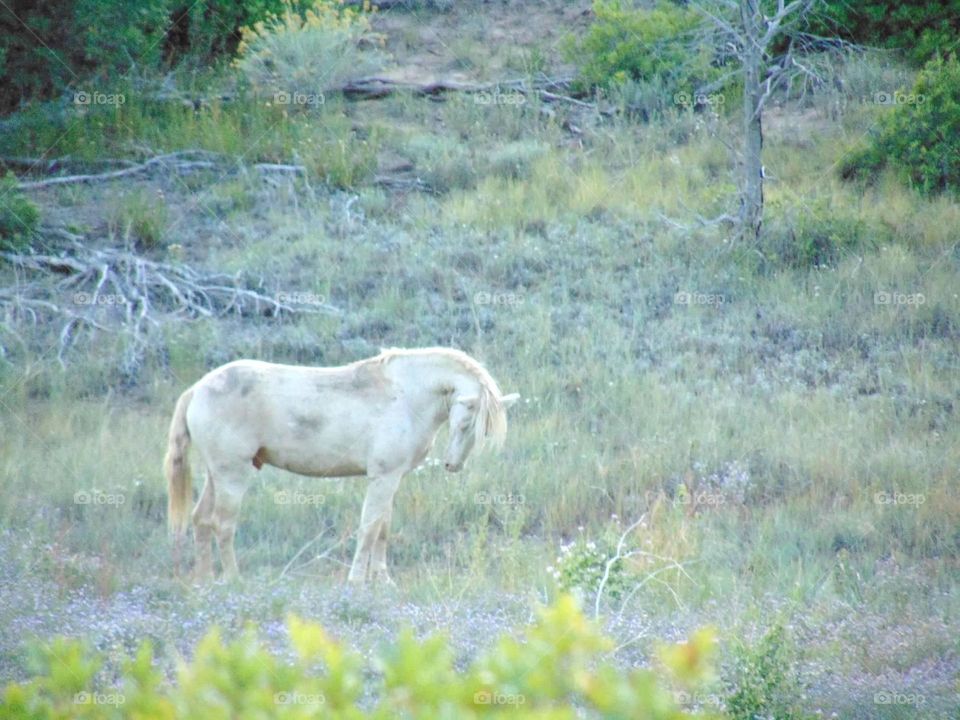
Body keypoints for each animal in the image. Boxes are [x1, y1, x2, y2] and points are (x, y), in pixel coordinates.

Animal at [165, 348, 516, 584]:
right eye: (465, 422)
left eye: (482, 430)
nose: (452, 464)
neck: (406, 395)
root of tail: (197, 389)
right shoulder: (382, 478)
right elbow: (370, 528)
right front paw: (357, 581)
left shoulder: (391, 479)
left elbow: (383, 528)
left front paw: (383, 580)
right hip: (232, 475)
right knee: (222, 524)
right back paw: (233, 579)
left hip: (216, 475)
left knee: (201, 520)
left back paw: (205, 580)